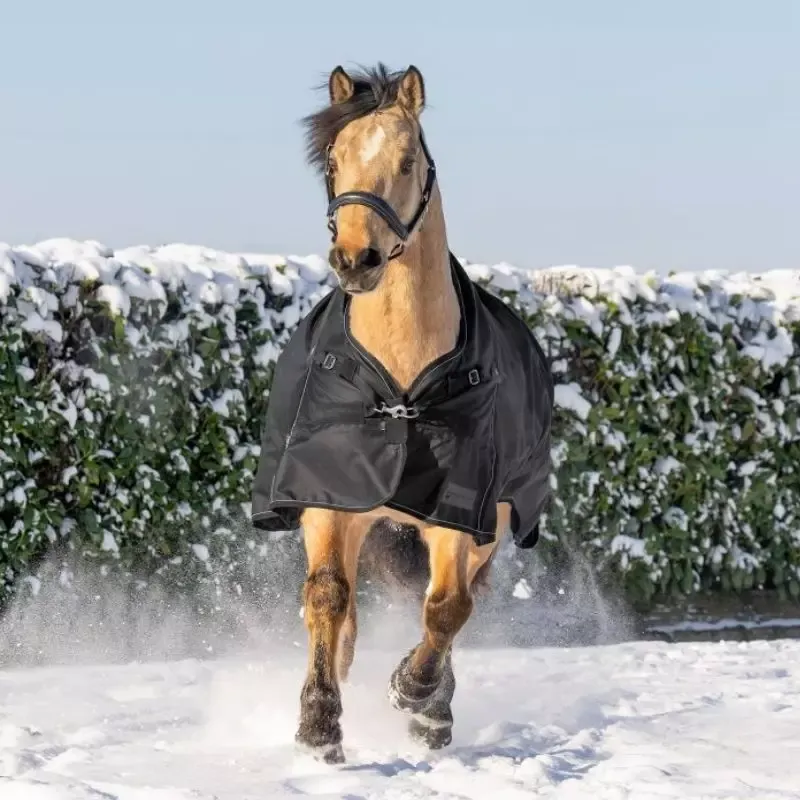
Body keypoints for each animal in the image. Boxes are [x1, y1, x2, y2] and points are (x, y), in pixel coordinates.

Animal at [251, 63, 553, 764]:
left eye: (408, 159)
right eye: (333, 159)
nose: (355, 259)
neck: (401, 388)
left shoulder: (461, 511)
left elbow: (446, 608)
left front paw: (416, 697)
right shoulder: (328, 499)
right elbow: (327, 595)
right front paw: (319, 727)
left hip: (493, 525)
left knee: (457, 604)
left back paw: (431, 707)